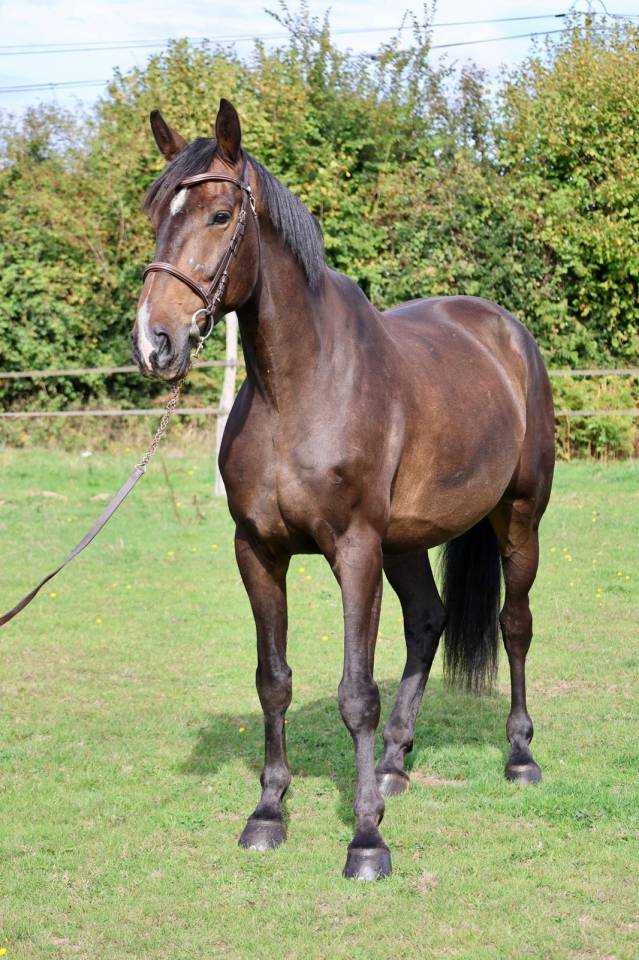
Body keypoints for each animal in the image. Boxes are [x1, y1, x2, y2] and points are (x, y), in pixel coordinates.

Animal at [131, 99, 555, 880]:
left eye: (217, 215)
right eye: (155, 216)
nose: (156, 344)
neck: (299, 389)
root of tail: (507, 333)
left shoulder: (353, 550)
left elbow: (356, 693)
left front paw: (365, 840)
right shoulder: (257, 553)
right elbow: (273, 679)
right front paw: (268, 812)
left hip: (518, 518)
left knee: (514, 626)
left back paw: (518, 756)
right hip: (407, 541)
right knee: (427, 622)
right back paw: (391, 765)